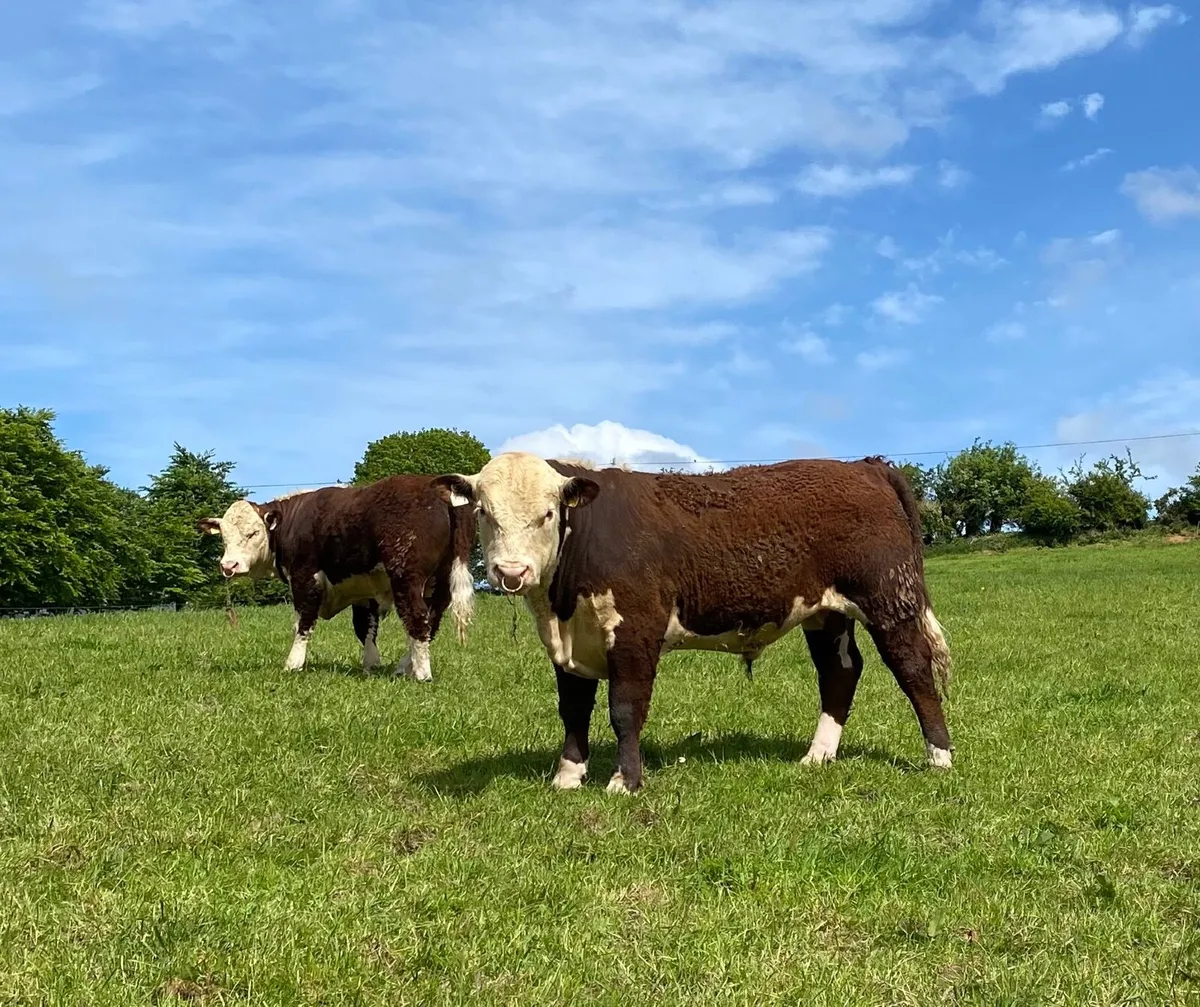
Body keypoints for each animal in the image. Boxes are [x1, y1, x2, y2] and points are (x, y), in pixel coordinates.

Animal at [197, 477, 476, 680]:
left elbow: (303, 623)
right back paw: (404, 667)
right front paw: (371, 664)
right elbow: (365, 628)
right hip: (440, 583)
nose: (228, 565)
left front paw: (293, 664)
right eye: (223, 536)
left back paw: (421, 674)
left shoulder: (305, 578)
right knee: (431, 623)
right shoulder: (363, 590)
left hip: (407, 578)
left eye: (253, 533)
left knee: (417, 620)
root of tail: (435, 489)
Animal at [432, 452, 952, 794]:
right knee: (840, 673)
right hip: (827, 614)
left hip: (889, 599)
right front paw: (568, 776)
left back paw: (939, 758)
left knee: (914, 669)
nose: (510, 572)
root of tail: (864, 465)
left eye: (547, 513)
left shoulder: (636, 629)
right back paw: (817, 756)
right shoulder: (569, 642)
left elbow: (625, 709)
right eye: (484, 512)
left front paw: (624, 781)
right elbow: (574, 709)